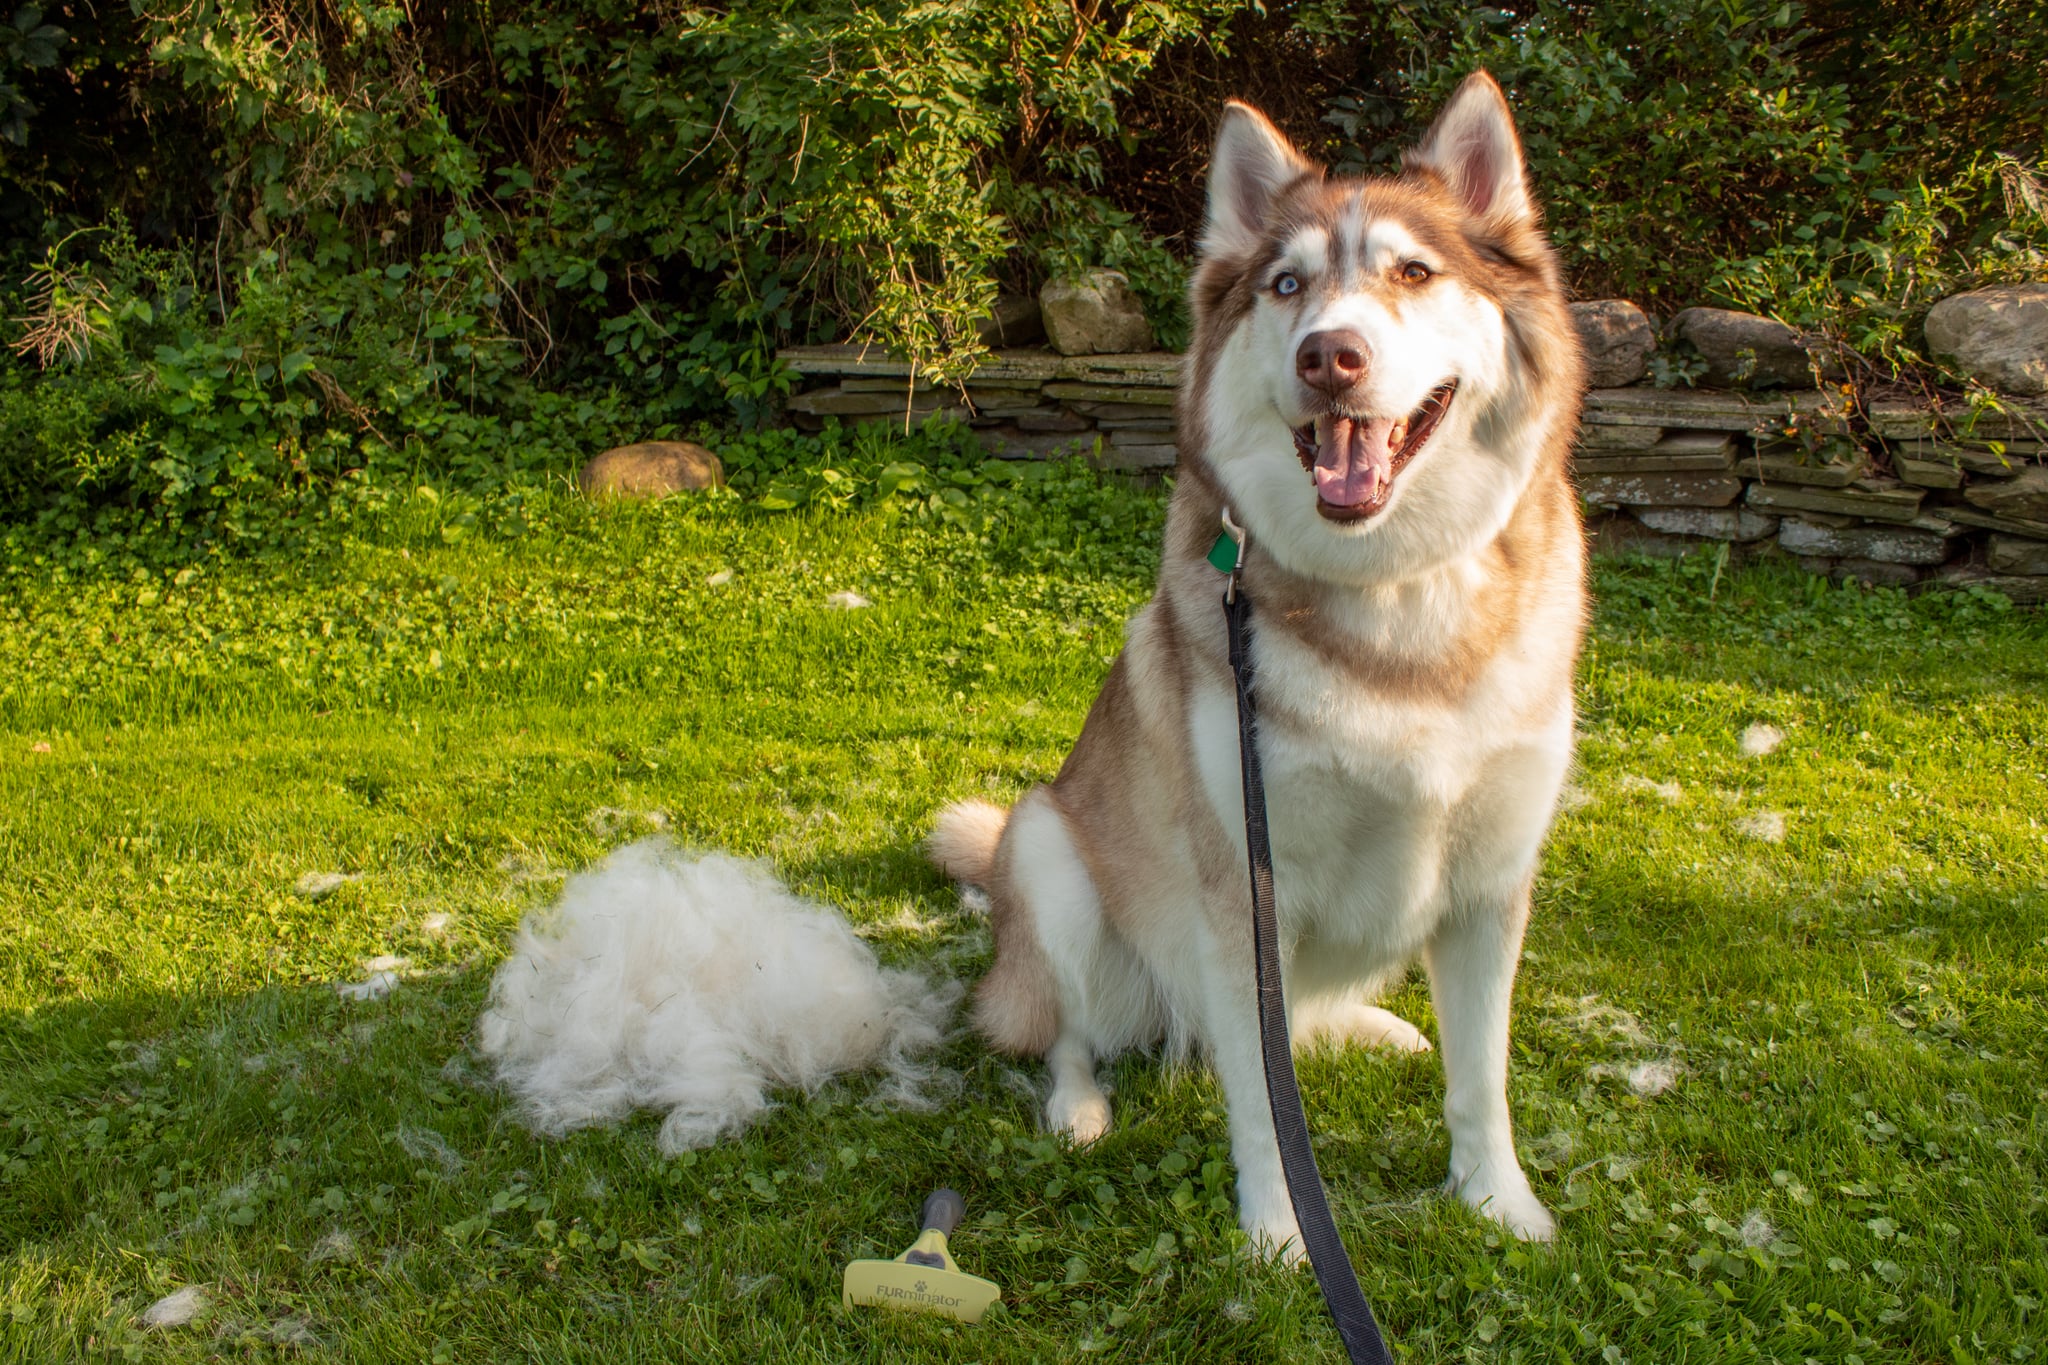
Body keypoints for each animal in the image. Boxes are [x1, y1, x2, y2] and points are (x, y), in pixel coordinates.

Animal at [937, 69, 1589, 1252]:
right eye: (1287, 285)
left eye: (1413, 272)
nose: (1328, 355)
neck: (1394, 604)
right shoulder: (1244, 901)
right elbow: (1263, 1109)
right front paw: (1280, 1235)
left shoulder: (1489, 886)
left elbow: (1481, 1079)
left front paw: (1497, 1201)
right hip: (1048, 850)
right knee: (1069, 1031)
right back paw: (1078, 1107)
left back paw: (1370, 1025)